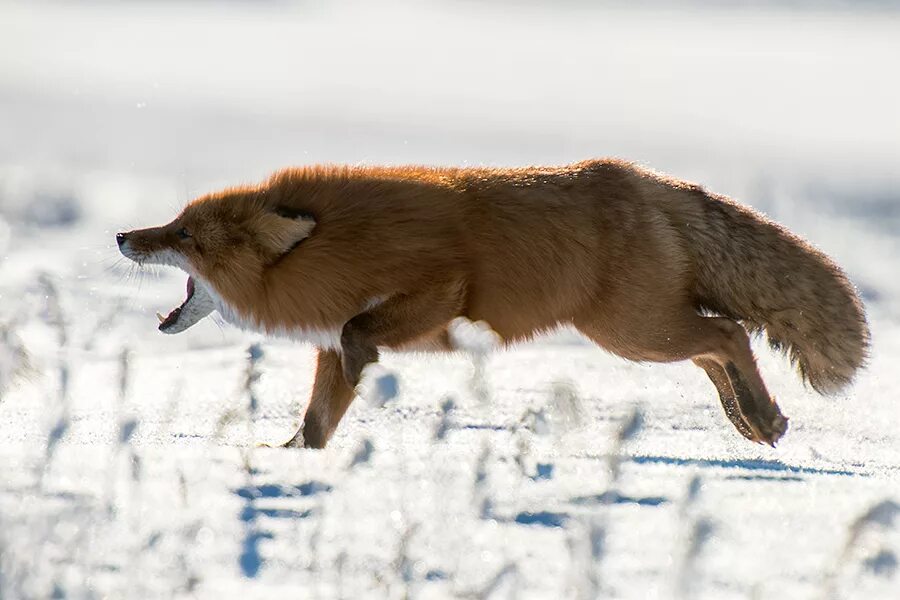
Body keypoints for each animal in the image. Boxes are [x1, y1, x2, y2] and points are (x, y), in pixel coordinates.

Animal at [116, 159, 868, 450]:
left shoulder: (440, 288)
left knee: (730, 334)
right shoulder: (330, 342)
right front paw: (294, 464)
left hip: (633, 333)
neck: (334, 245)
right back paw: (750, 420)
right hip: (642, 332)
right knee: (720, 341)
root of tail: (641, 178)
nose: (123, 236)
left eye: (183, 236)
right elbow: (315, 426)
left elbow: (363, 336)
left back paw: (760, 418)